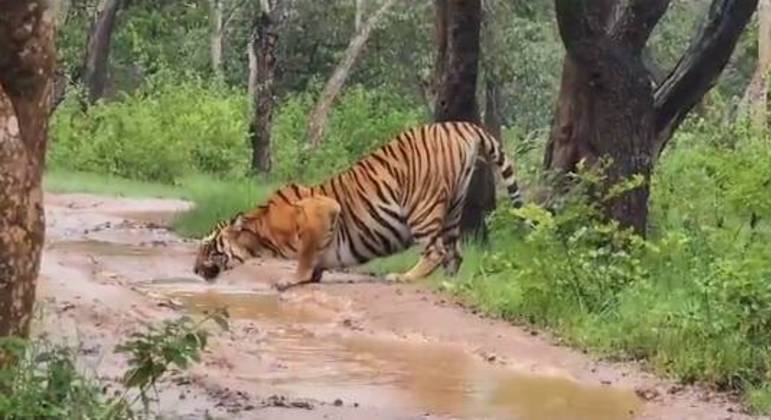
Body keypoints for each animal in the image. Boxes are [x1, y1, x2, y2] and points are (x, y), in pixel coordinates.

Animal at [193, 121, 523, 290]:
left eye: (208, 247)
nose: (194, 270)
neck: (261, 233)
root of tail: (459, 125)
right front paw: (310, 276)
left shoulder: (322, 210)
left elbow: (305, 255)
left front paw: (292, 279)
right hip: (454, 207)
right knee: (455, 253)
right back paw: (448, 285)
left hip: (423, 206)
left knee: (436, 251)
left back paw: (403, 277)